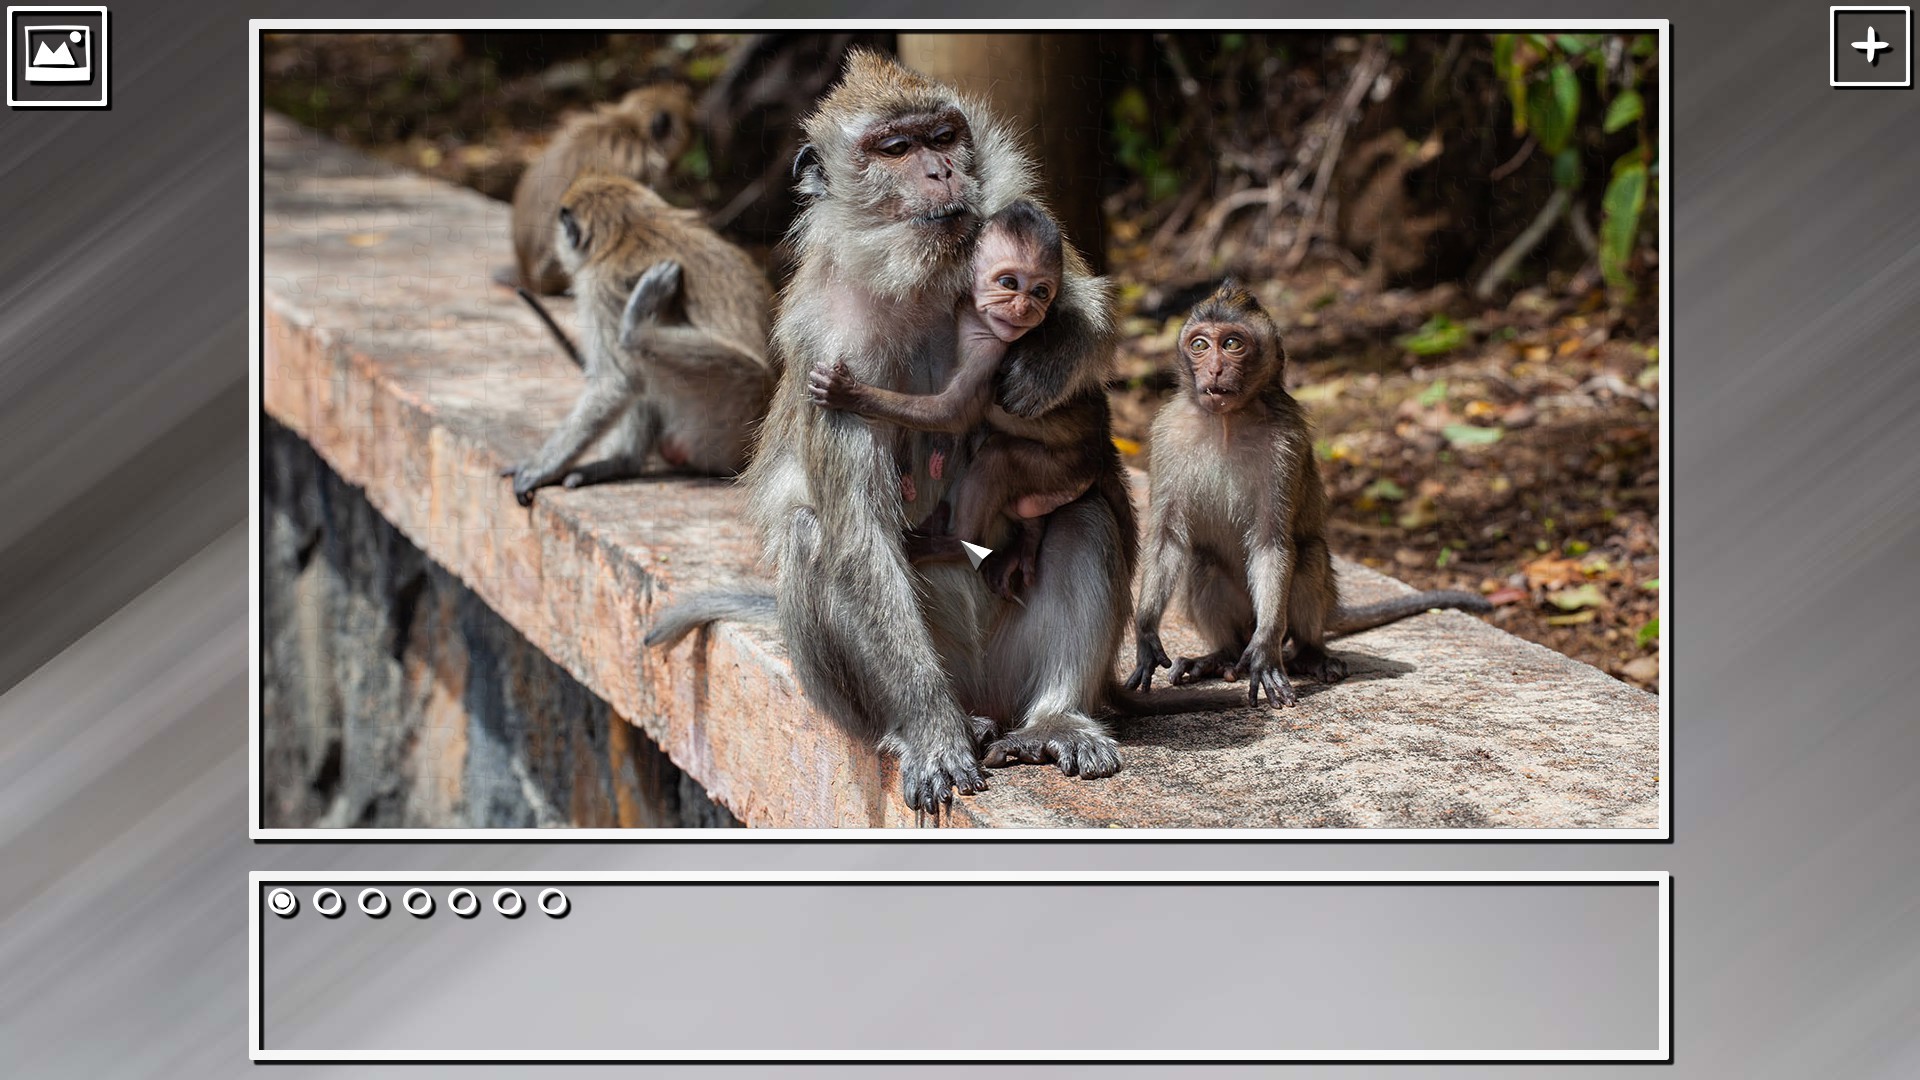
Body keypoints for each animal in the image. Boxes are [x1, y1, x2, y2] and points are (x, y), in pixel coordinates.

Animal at [501, 174, 774, 505]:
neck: (631, 225)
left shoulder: (598, 285)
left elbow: (616, 382)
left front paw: (541, 468)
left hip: (723, 416)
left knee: (638, 360)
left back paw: (635, 328)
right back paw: (621, 463)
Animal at [805, 199, 1104, 599]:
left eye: (1041, 291)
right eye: (1009, 283)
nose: (1024, 309)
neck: (975, 317)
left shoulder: (991, 349)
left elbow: (953, 412)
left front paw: (849, 394)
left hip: (1063, 468)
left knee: (998, 459)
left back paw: (957, 544)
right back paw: (1029, 535)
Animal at [1124, 281, 1493, 708]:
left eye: (1232, 343)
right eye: (1199, 345)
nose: (1214, 369)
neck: (1228, 421)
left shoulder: (1287, 442)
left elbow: (1273, 542)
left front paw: (1265, 652)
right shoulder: (1167, 433)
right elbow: (1167, 538)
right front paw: (1146, 634)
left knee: (1308, 555)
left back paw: (1308, 654)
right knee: (1203, 561)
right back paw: (1221, 657)